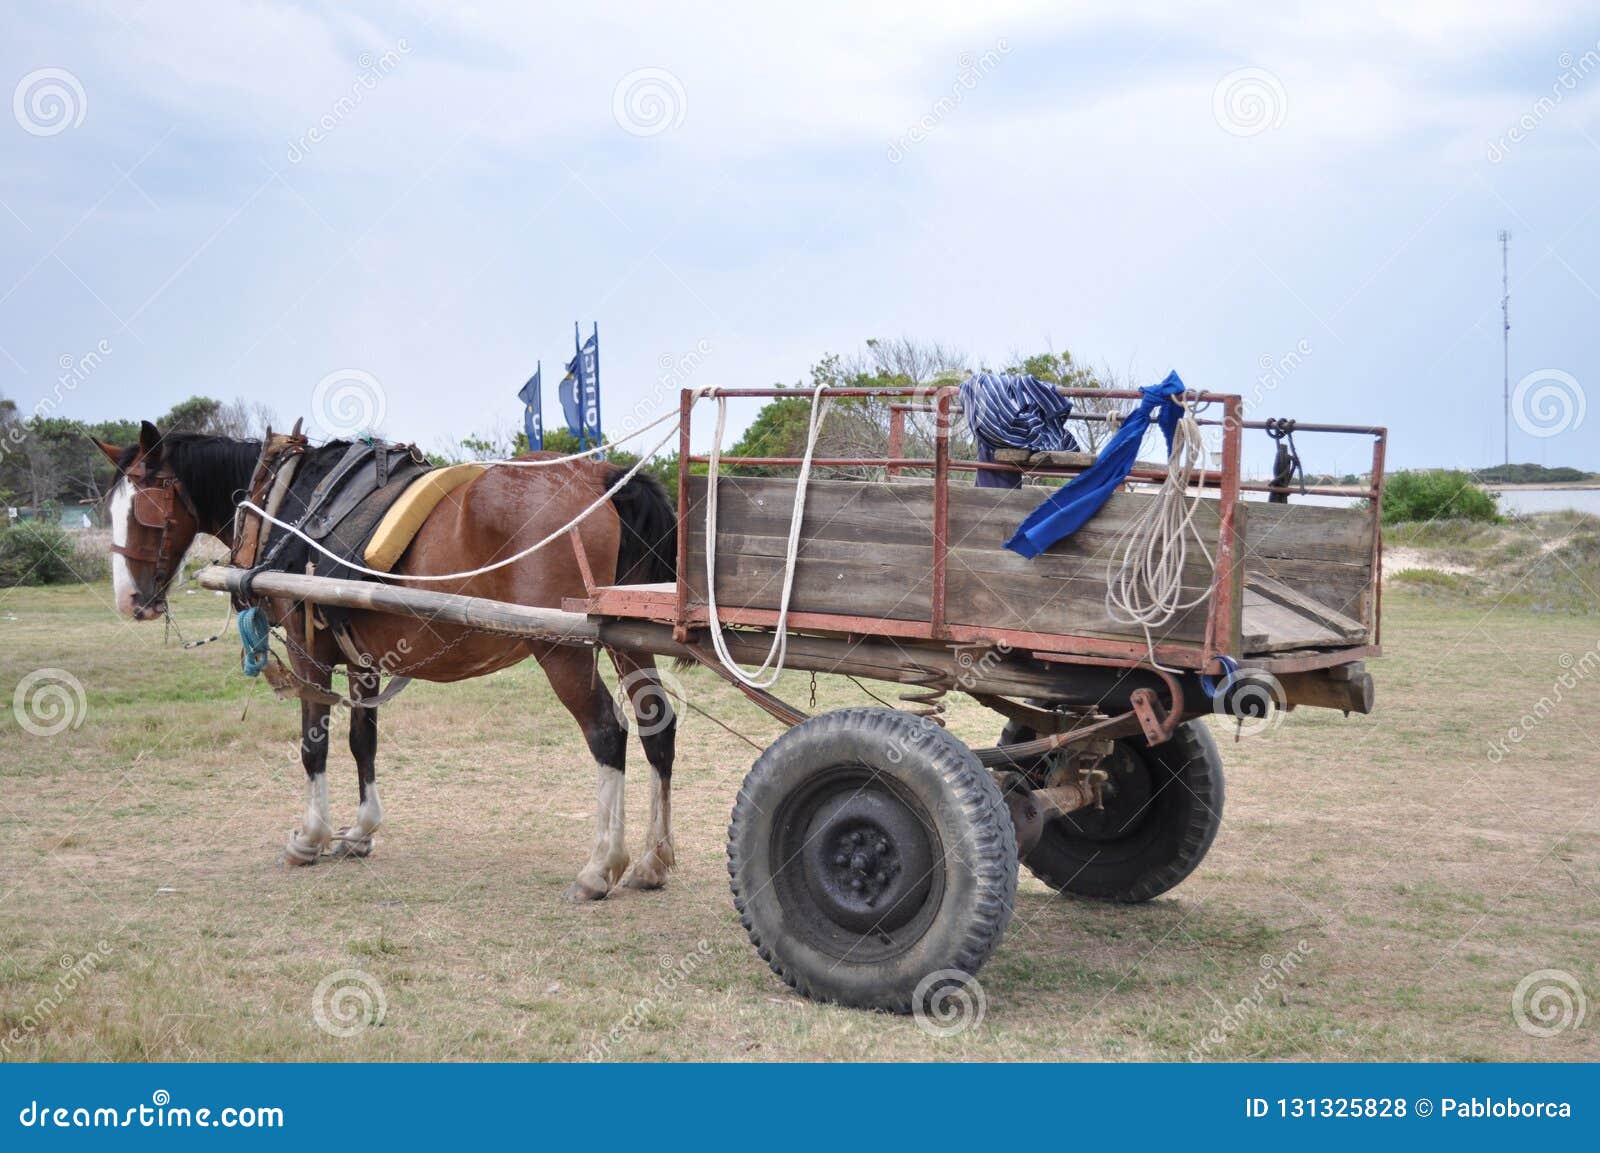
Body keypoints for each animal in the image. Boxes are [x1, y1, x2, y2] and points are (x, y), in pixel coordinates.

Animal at [95, 418, 681, 901]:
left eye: (146, 504)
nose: (128, 600)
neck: (286, 499)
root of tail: (600, 476)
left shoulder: (308, 650)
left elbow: (314, 744)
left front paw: (310, 837)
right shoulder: (362, 657)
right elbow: (363, 740)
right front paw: (360, 831)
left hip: (561, 649)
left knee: (607, 732)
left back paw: (600, 866)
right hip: (627, 635)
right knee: (657, 726)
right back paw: (652, 861)